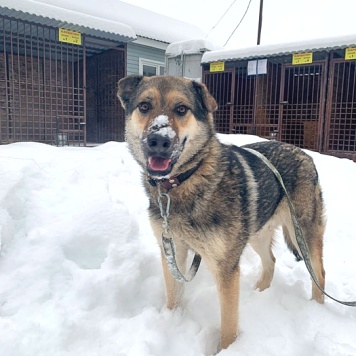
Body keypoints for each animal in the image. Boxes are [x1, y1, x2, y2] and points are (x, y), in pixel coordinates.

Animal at [117, 75, 326, 350]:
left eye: (181, 109)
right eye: (144, 106)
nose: (159, 140)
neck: (184, 181)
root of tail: (304, 153)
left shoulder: (225, 268)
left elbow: (228, 325)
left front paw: (227, 349)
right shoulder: (172, 252)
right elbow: (173, 297)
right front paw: (172, 322)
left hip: (303, 233)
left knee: (319, 273)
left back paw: (317, 310)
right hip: (257, 234)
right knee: (271, 261)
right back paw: (259, 292)